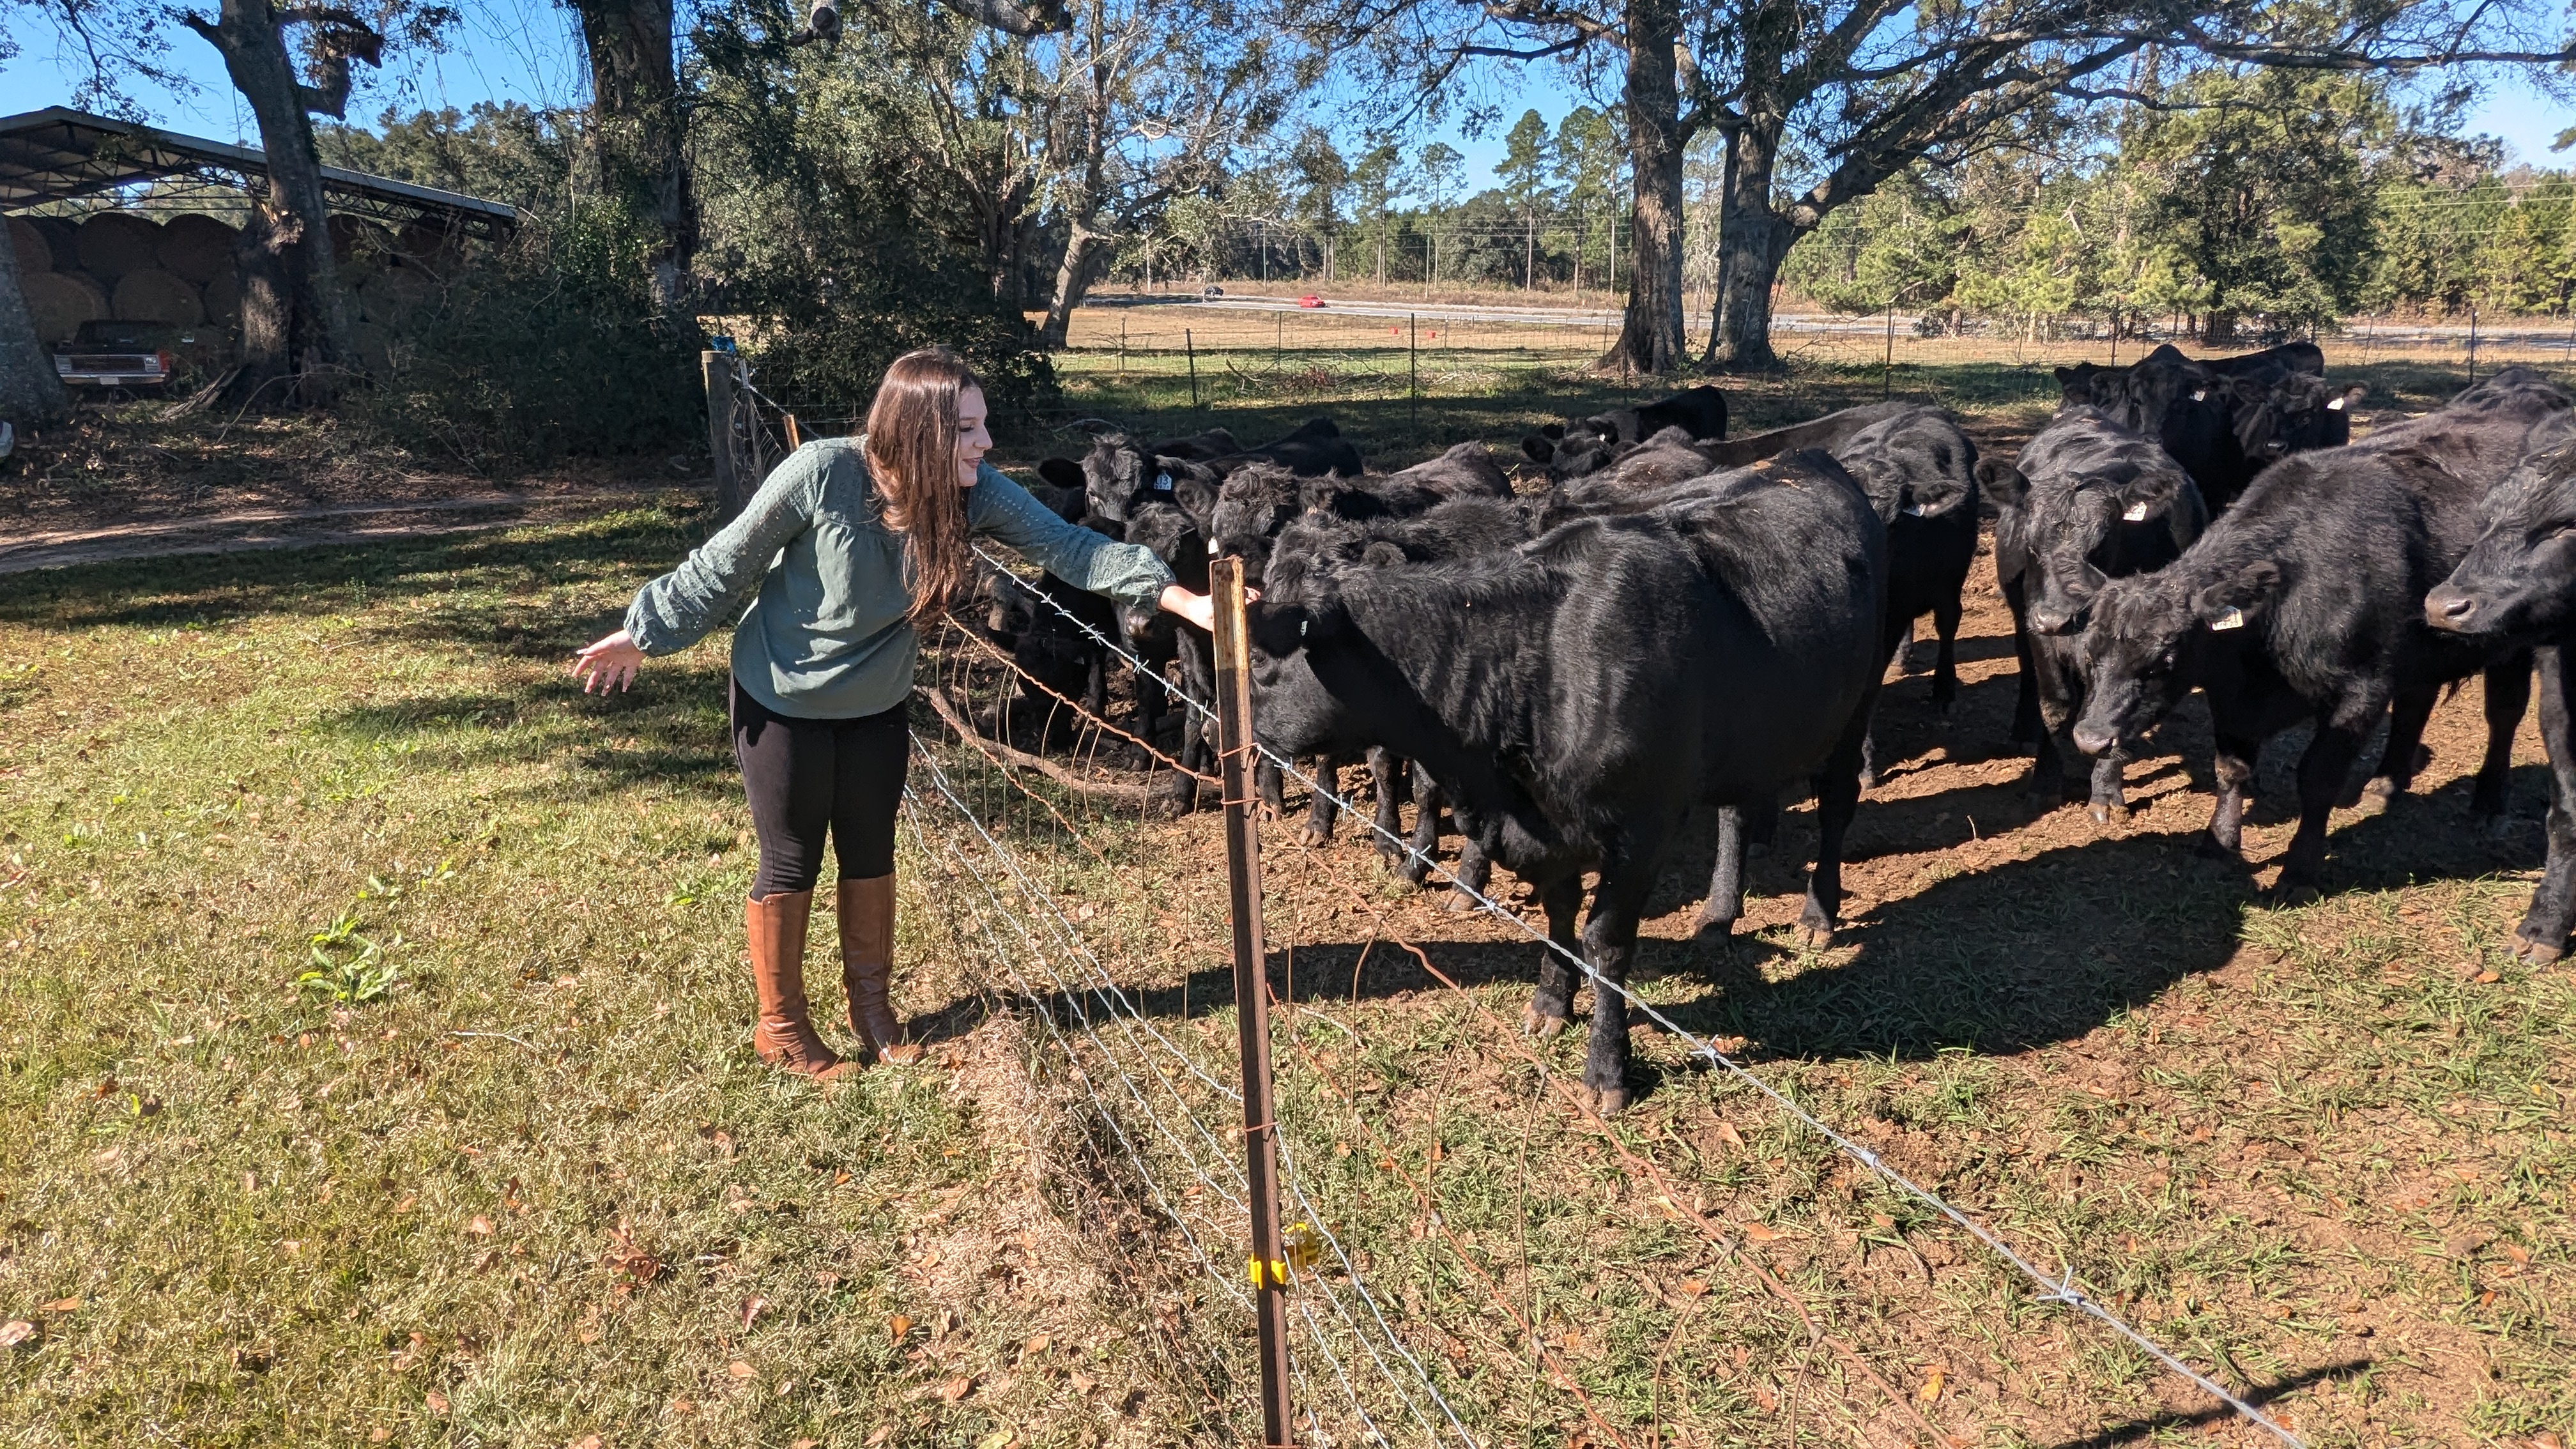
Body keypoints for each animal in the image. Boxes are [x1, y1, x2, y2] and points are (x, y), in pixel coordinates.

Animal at [1246, 448, 1886, 1114]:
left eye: (1263, 662)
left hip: (1856, 705)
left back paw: (1818, 914)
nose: (1243, 734)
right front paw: (1551, 1001)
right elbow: (1558, 918)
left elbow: (1605, 942)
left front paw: (1608, 1067)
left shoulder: (1642, 829)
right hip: (1749, 737)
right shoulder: (1547, 828)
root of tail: (1806, 457)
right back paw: (1717, 915)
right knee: (1736, 814)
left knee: (1837, 805)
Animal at [1981, 408, 2208, 819]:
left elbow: (2115, 713)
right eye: (2030, 544)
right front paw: (2044, 783)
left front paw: (2105, 790)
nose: (2056, 619)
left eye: (2099, 546)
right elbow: (2055, 705)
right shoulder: (2040, 631)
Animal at [2071, 368, 2575, 893]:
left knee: (2504, 713)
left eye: (2163, 660)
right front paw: (2219, 841)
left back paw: (2489, 803)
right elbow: (2231, 769)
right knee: (2415, 705)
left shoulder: (2361, 689)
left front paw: (2299, 868)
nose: (2091, 738)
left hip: (2510, 644)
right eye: (2089, 656)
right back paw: (2386, 782)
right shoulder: (2231, 699)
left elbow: (2318, 779)